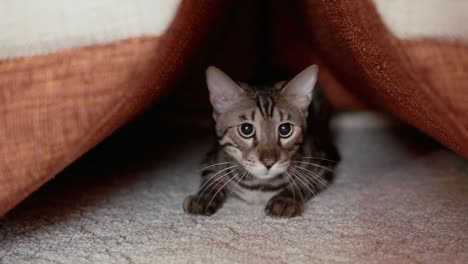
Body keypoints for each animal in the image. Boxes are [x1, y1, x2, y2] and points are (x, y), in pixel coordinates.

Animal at [183, 65, 340, 218]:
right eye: (246, 129)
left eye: (285, 129)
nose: (269, 162)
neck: (259, 185)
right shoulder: (210, 158)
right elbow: (211, 177)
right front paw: (203, 197)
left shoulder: (323, 164)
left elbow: (305, 182)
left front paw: (286, 199)